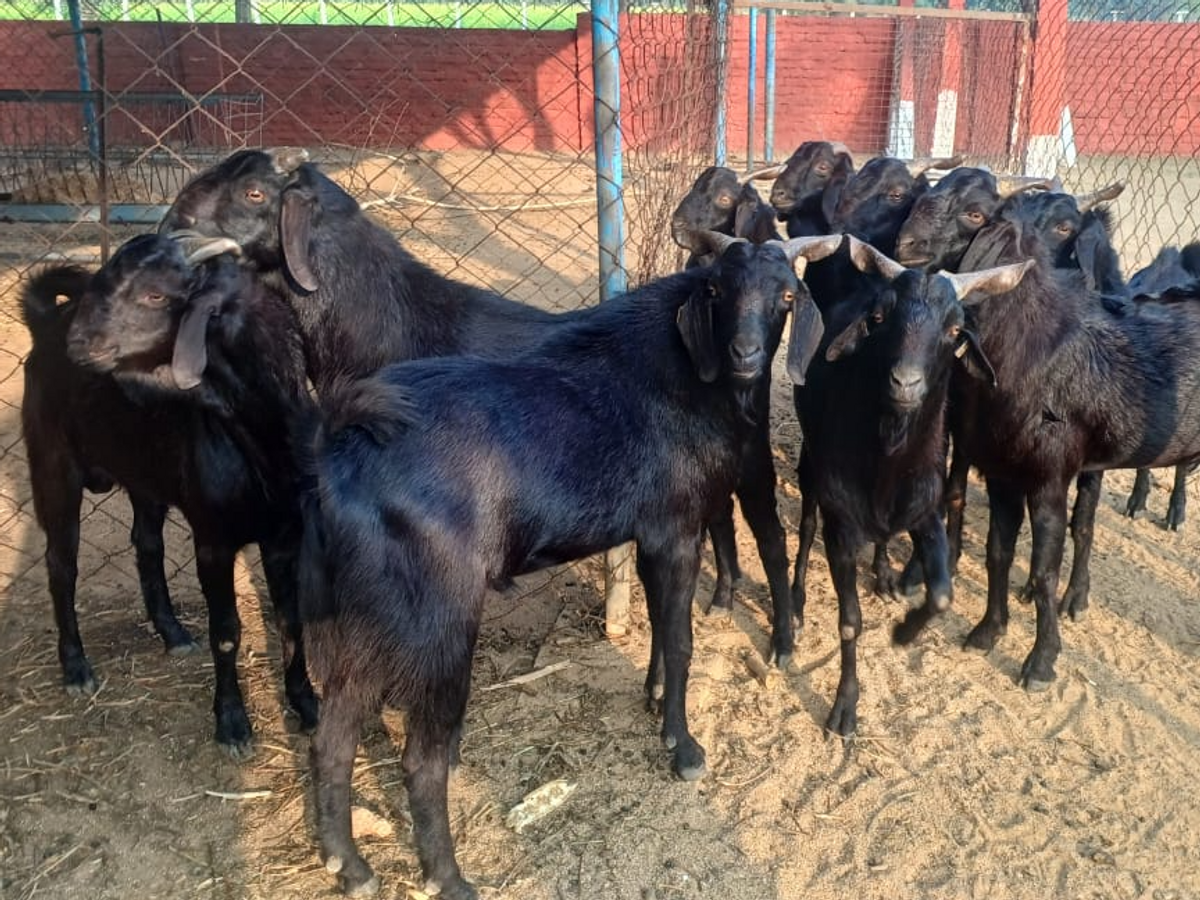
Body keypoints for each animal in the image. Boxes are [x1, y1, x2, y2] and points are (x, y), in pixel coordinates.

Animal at [21, 233, 319, 758]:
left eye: (156, 295)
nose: (80, 343)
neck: (260, 432)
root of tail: (45, 326)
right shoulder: (214, 542)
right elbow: (227, 632)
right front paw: (232, 723)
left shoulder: (286, 534)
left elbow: (291, 621)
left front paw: (306, 704)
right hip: (53, 468)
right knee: (61, 565)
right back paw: (76, 667)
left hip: (145, 476)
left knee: (146, 545)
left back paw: (174, 633)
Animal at [300, 233, 842, 899]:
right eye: (716, 288)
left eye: (786, 295)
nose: (745, 354)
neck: (686, 377)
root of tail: (343, 445)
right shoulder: (675, 530)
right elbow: (681, 638)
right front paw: (684, 746)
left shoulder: (648, 535)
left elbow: (660, 625)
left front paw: (653, 698)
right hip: (438, 617)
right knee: (421, 758)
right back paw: (449, 878)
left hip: (360, 618)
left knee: (333, 736)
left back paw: (348, 866)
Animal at [790, 237, 1031, 735]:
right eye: (881, 318)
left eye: (955, 329)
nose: (905, 382)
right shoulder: (840, 523)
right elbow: (849, 621)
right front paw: (845, 708)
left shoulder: (926, 510)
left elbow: (941, 594)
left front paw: (904, 629)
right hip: (811, 465)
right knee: (804, 527)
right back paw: (797, 606)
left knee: (883, 537)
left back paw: (883, 574)